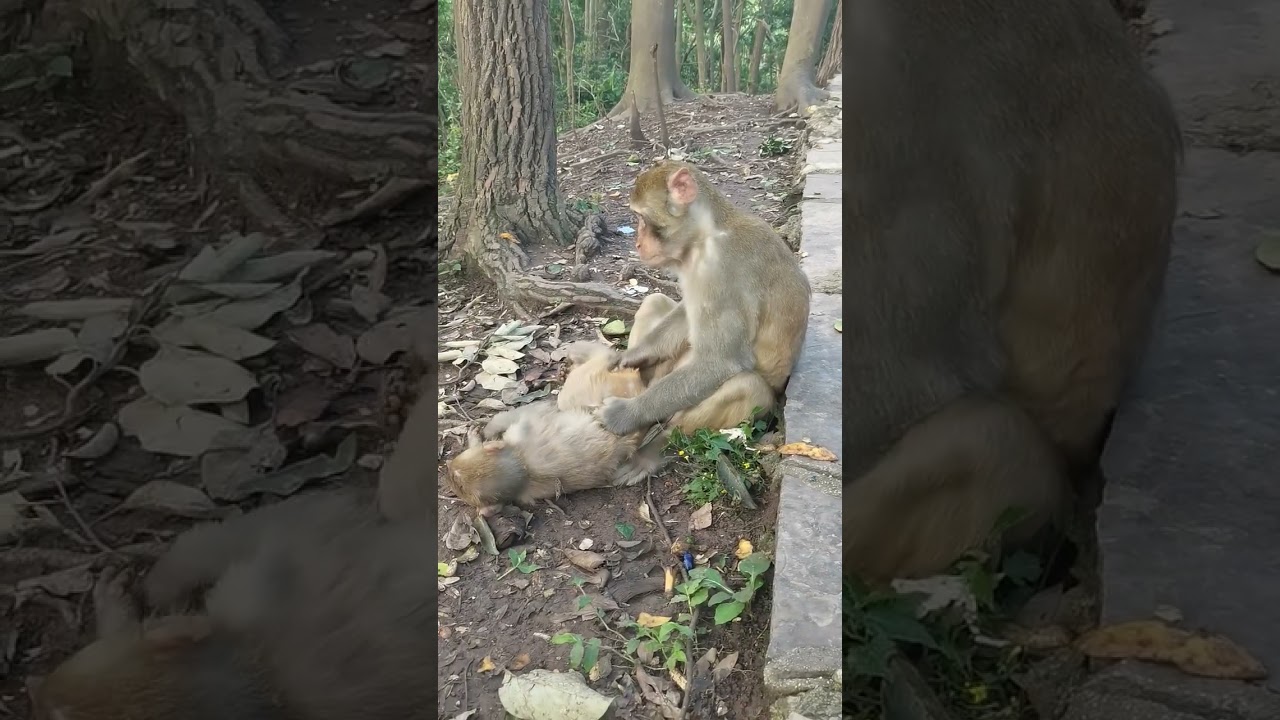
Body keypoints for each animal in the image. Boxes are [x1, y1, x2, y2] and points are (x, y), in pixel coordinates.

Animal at [597, 161, 811, 438]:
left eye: (642, 217)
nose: (637, 243)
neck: (704, 237)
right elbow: (686, 311)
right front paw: (632, 355)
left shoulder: (722, 270)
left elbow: (721, 361)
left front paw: (625, 414)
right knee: (655, 301)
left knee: (748, 385)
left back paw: (662, 436)